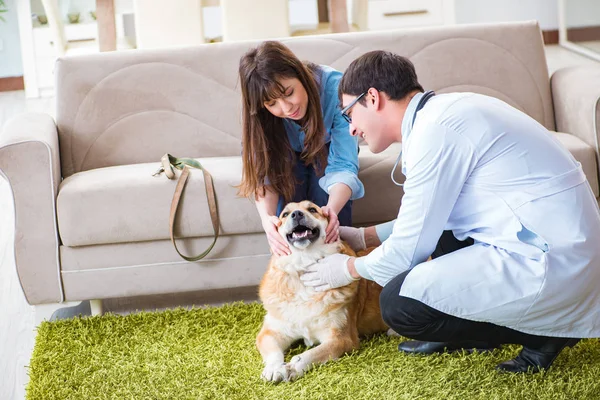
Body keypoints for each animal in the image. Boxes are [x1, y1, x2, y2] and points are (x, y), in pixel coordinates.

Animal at [256, 202, 390, 382]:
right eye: (285, 214)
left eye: (312, 209)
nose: (296, 214)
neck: (303, 269)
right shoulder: (269, 333)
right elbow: (274, 353)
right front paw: (274, 368)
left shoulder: (341, 338)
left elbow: (310, 354)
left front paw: (294, 367)